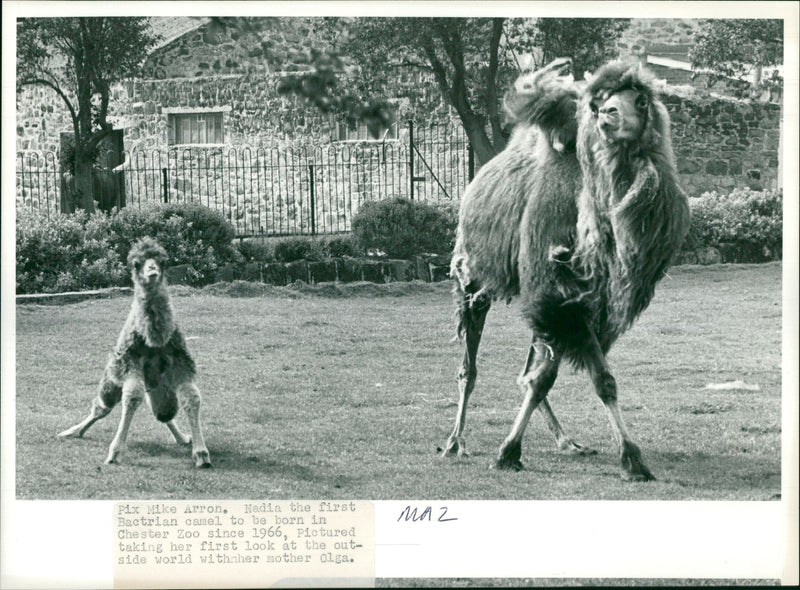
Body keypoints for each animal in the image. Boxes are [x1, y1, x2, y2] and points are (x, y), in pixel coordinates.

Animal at [59, 238, 211, 470]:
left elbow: (191, 397)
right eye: (136, 263)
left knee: (163, 413)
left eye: (162, 261)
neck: (155, 339)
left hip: (161, 391)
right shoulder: (128, 362)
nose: (152, 271)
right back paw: (72, 432)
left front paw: (201, 454)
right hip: (112, 378)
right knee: (102, 407)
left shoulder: (180, 361)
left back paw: (183, 438)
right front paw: (114, 453)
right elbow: (132, 397)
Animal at [444, 57, 688, 484]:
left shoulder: (584, 305)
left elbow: (597, 380)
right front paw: (508, 452)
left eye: (641, 101)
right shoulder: (558, 299)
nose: (609, 115)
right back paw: (456, 441)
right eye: (601, 102)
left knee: (529, 369)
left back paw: (566, 441)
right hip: (472, 278)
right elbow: (547, 379)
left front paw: (633, 460)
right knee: (469, 366)